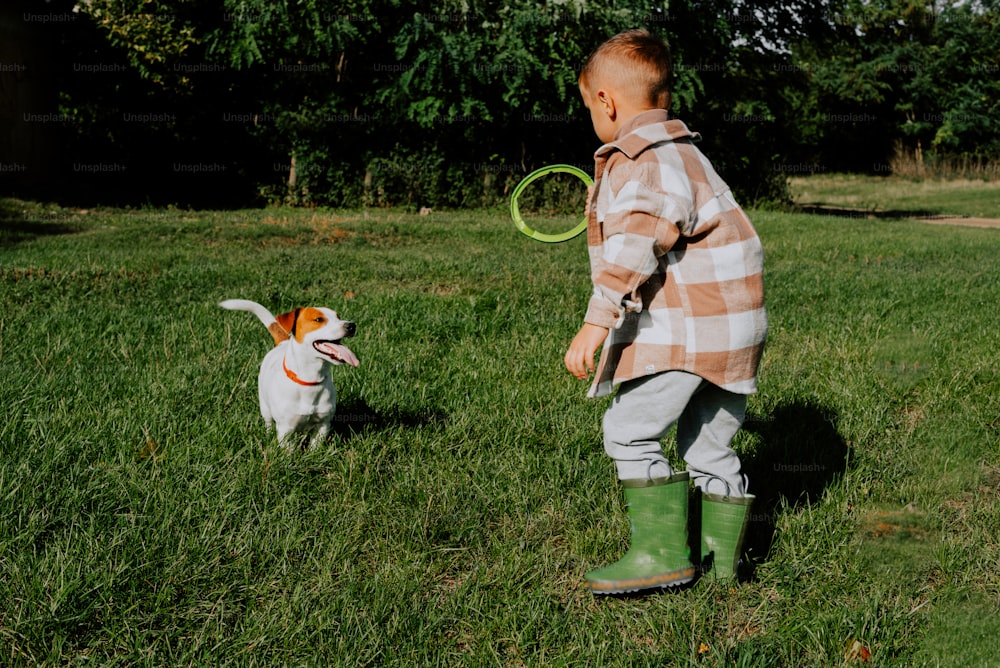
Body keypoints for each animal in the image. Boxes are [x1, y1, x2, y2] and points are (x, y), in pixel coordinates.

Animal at [221, 298, 362, 448]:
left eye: (338, 317)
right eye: (318, 319)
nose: (351, 325)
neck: (310, 380)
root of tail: (283, 343)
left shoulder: (323, 425)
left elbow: (315, 447)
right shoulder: (285, 429)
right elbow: (288, 449)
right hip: (264, 406)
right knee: (268, 422)